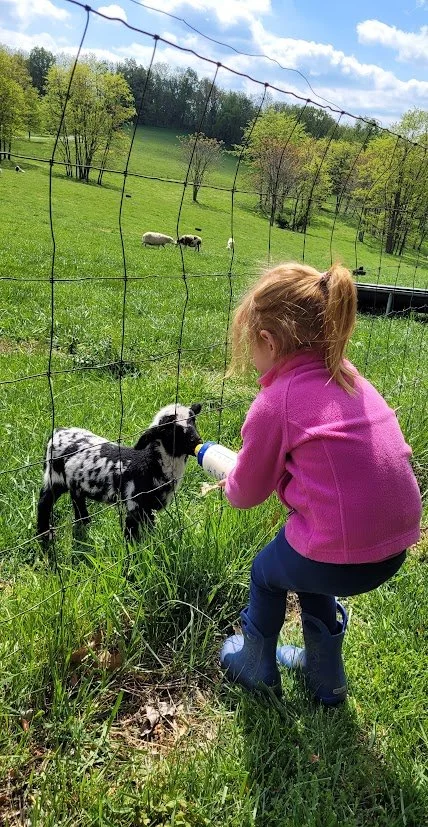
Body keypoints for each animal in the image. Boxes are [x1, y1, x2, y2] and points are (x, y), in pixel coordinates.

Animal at [37, 403, 202, 543]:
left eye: (193, 419)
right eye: (168, 429)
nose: (197, 441)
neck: (150, 465)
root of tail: (58, 431)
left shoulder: (149, 508)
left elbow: (150, 530)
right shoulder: (133, 504)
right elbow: (131, 536)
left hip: (75, 481)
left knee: (76, 497)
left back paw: (84, 522)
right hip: (53, 476)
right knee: (44, 501)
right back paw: (44, 535)